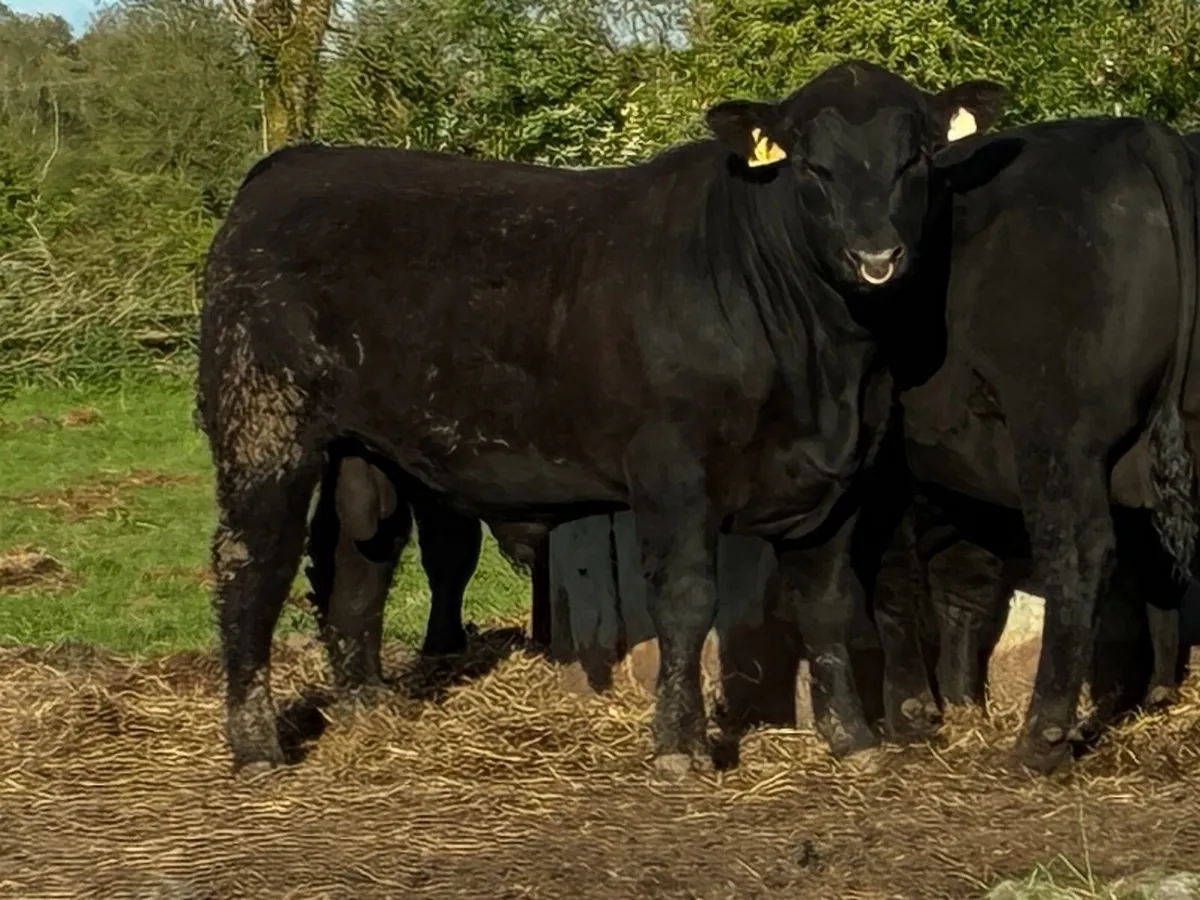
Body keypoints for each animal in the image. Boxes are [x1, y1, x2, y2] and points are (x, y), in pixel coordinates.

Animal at [196, 59, 1008, 774]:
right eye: (813, 165)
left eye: (917, 159)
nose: (877, 256)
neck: (822, 368)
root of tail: (296, 164)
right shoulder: (673, 469)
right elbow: (687, 601)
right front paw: (679, 745)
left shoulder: (841, 475)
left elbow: (830, 605)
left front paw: (852, 738)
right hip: (262, 425)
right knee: (251, 562)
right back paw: (256, 743)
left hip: (367, 450)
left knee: (358, 560)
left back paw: (368, 706)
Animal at [843, 115, 1200, 774]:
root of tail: (1133, 131)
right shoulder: (966, 483)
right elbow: (966, 585)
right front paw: (960, 699)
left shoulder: (891, 478)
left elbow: (894, 579)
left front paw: (911, 711)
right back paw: (1156, 691)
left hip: (1057, 431)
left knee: (1080, 553)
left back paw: (1042, 735)